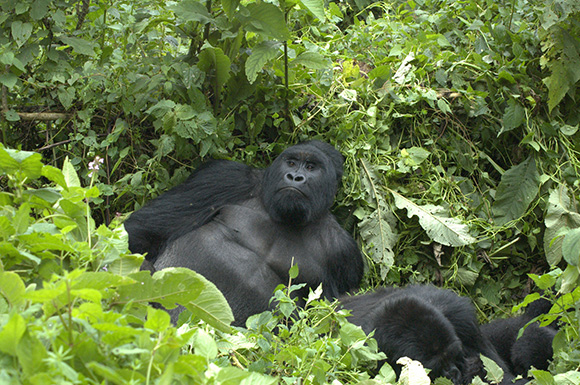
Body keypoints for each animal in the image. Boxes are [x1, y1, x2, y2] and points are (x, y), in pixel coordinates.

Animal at [125, 140, 364, 324]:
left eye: (311, 167)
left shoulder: (344, 253)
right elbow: (145, 230)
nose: (295, 177)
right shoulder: (225, 177)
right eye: (292, 162)